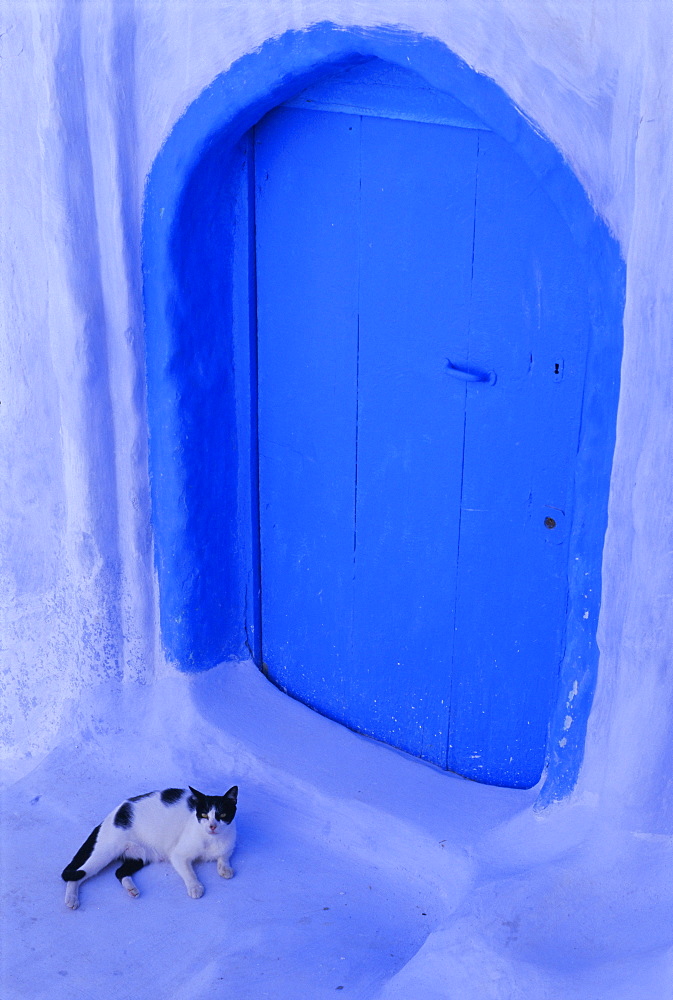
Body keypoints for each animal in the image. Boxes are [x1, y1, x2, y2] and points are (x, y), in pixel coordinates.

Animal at [63, 784, 236, 912]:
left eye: (222, 815)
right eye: (204, 815)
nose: (212, 826)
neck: (213, 840)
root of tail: (111, 815)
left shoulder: (228, 845)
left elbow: (224, 857)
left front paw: (225, 869)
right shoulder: (179, 855)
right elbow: (189, 872)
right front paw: (195, 887)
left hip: (140, 855)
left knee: (119, 872)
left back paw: (131, 889)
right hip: (106, 852)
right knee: (78, 873)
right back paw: (71, 898)